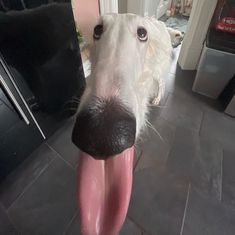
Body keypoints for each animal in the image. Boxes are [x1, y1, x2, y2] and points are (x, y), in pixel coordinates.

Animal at [72, 13, 183, 234]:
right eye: (97, 30)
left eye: (142, 33)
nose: (102, 136)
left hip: (160, 70)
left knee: (161, 83)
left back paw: (157, 98)